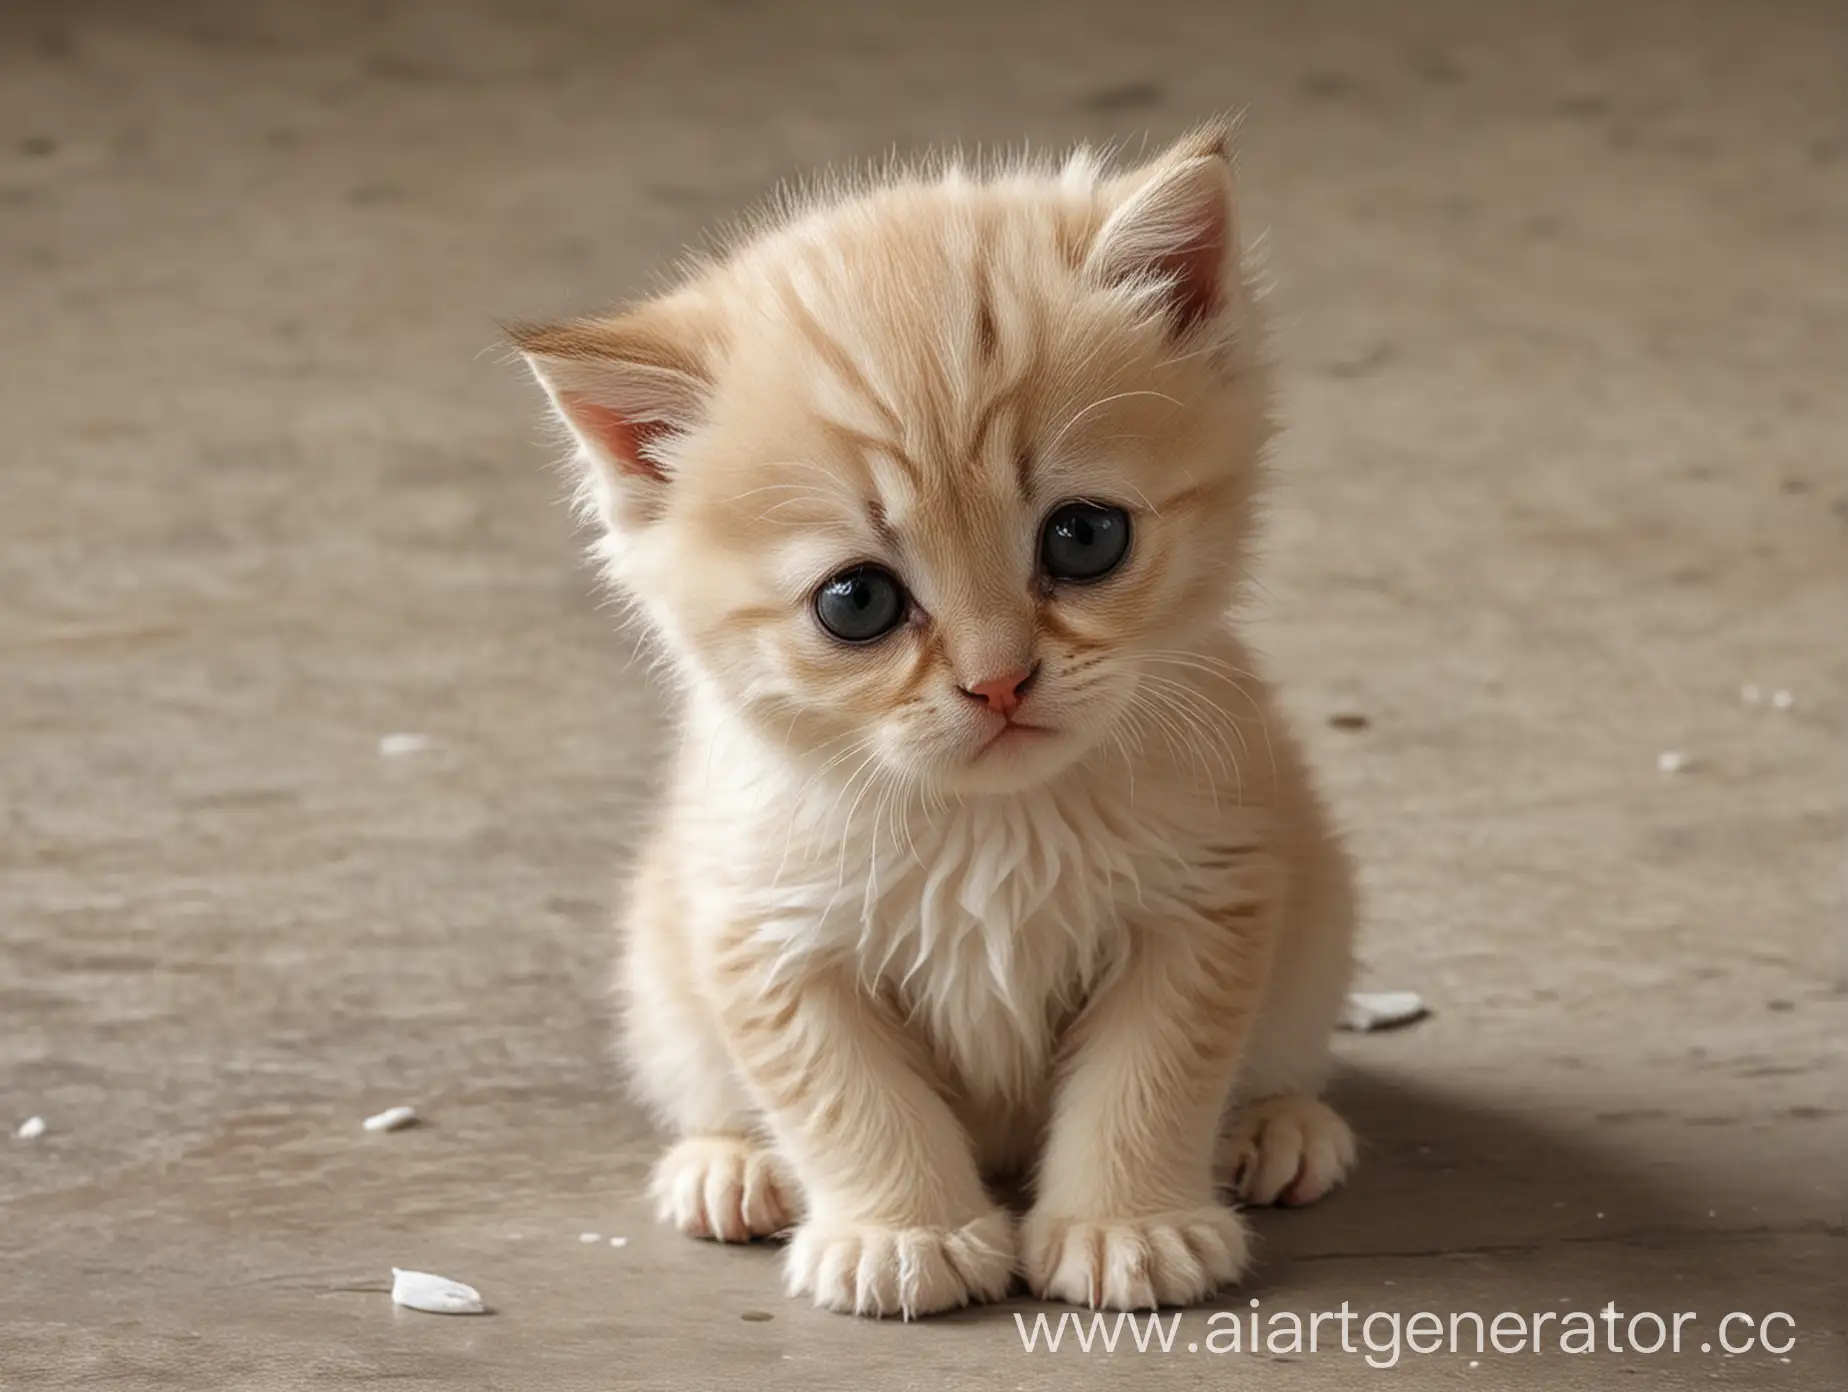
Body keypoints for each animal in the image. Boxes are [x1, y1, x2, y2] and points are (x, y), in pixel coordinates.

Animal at [517, 127, 1360, 1316]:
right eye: (856, 602)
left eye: (1085, 538)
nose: (1000, 682)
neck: (995, 823)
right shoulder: (762, 930)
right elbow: (845, 1096)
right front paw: (901, 1231)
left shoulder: (1209, 896)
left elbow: (1152, 1077)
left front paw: (1126, 1224)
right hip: (663, 970)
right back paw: (729, 1164)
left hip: (1319, 915)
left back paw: (1278, 1124)